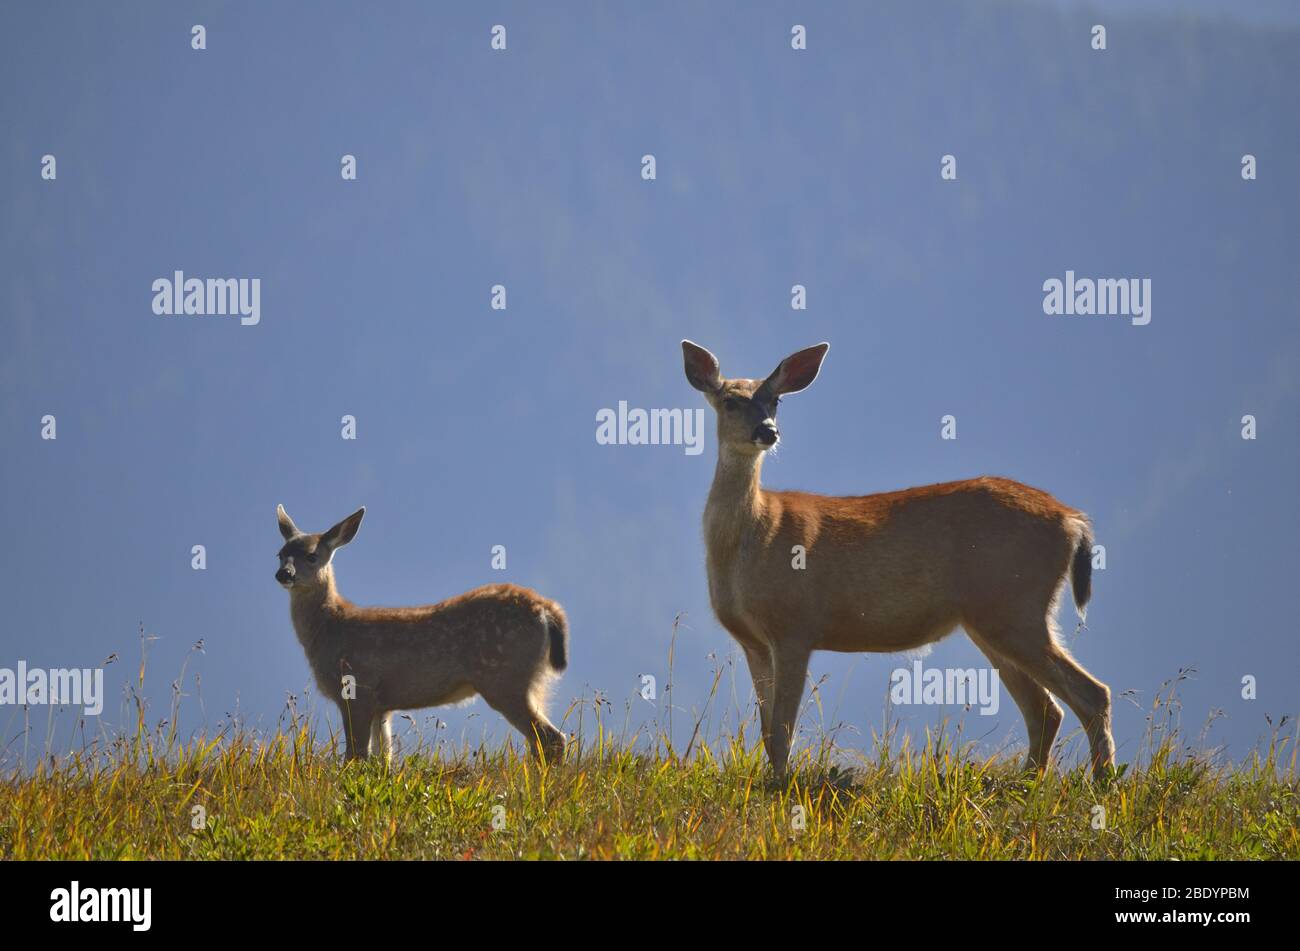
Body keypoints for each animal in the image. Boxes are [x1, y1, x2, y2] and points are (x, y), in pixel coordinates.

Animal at [681, 342, 1118, 779]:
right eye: (731, 400)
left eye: (776, 400)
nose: (768, 431)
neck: (753, 536)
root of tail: (1072, 519)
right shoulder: (752, 641)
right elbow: (768, 729)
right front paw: (772, 779)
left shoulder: (795, 626)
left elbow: (783, 726)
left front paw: (781, 784)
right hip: (993, 617)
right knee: (1046, 710)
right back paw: (1028, 781)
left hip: (1015, 604)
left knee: (1091, 693)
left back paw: (1101, 782)